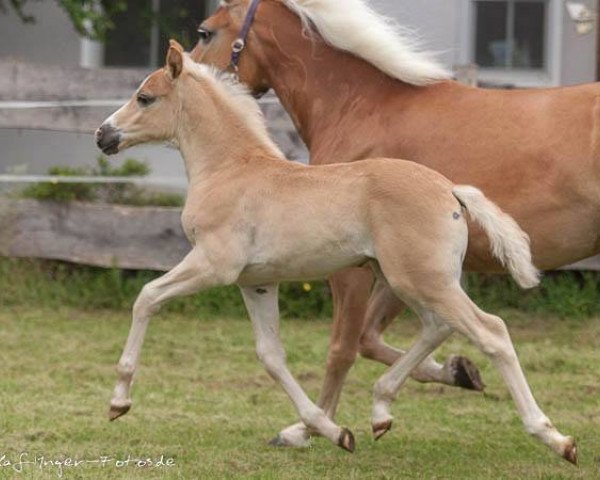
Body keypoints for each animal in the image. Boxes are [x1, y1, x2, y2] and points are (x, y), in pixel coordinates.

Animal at [96, 43, 576, 464]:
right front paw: (330, 431)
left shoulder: (214, 265)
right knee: (438, 327)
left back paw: (556, 439)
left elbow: (147, 298)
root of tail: (451, 190)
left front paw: (119, 402)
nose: (103, 134)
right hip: (413, 280)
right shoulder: (257, 283)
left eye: (144, 97)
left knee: (490, 331)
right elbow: (271, 356)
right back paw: (381, 411)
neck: (231, 170)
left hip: (420, 279)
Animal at [191, 0, 600, 450]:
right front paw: (456, 373)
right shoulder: (394, 270)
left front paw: (312, 427)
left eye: (205, 32)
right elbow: (377, 339)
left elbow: (343, 347)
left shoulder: (352, 269)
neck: (362, 106)